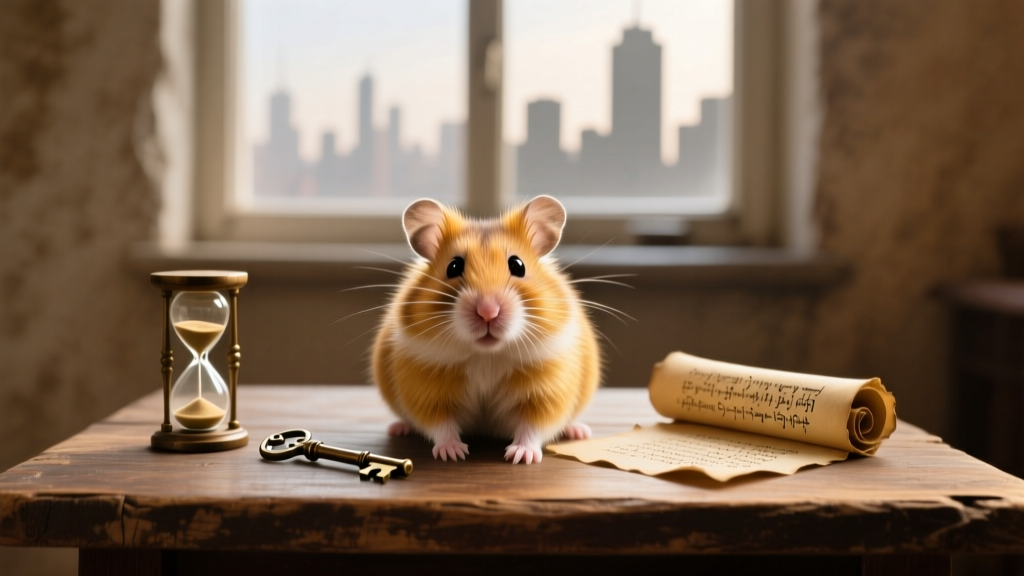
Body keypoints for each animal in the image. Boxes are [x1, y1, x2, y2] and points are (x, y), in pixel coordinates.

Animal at [372, 195, 601, 464]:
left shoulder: (547, 391)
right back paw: (398, 428)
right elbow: (440, 424)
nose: (488, 312)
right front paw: (453, 454)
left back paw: (579, 431)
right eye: (453, 266)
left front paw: (520, 457)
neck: (487, 355)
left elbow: (533, 425)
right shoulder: (426, 390)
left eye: (518, 265)